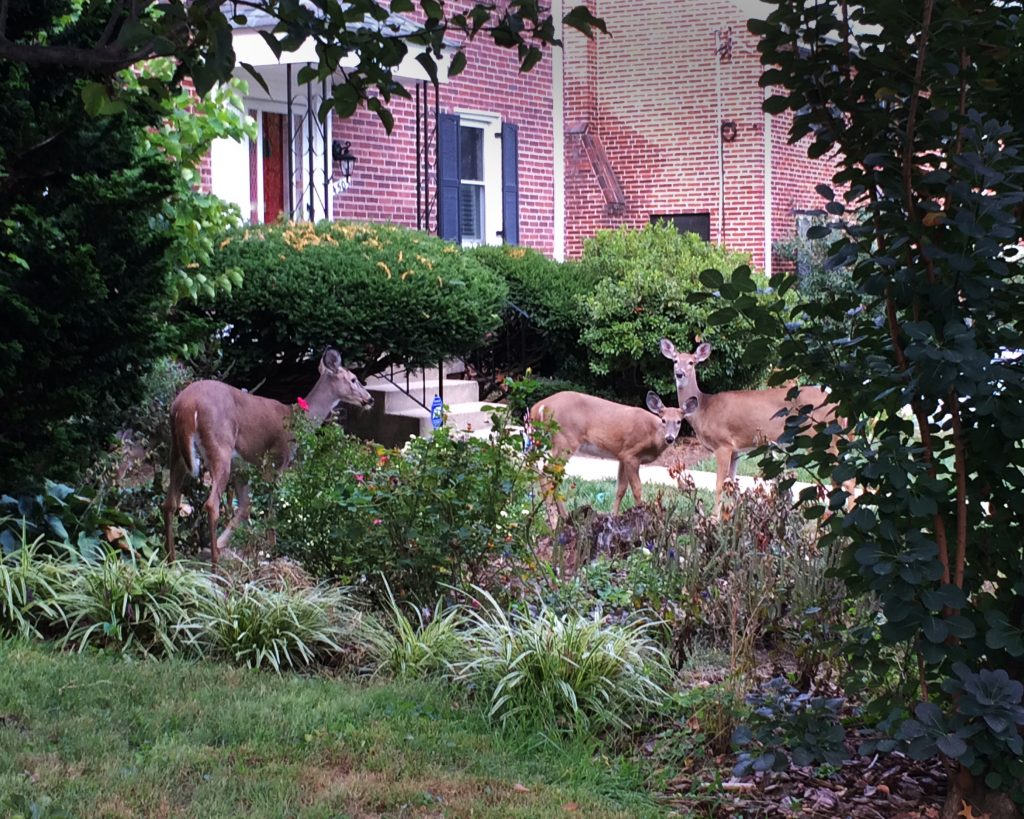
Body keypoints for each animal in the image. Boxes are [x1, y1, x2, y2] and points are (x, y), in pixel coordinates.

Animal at [162, 347, 374, 565]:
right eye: (353, 379)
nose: (370, 399)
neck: (297, 418)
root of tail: (187, 405)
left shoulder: (243, 466)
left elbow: (246, 507)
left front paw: (228, 546)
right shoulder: (275, 461)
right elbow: (270, 506)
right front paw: (271, 550)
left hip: (177, 450)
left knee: (169, 503)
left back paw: (171, 562)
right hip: (220, 446)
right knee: (211, 504)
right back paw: (214, 565)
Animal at [528, 390, 695, 526]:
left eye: (679, 421)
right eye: (663, 420)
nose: (670, 438)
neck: (652, 434)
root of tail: (539, 407)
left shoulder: (622, 455)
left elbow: (620, 488)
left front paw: (613, 516)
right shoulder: (631, 454)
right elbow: (637, 488)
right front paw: (642, 514)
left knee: (550, 475)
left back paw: (564, 517)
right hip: (565, 440)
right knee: (546, 473)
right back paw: (554, 521)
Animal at [660, 338, 841, 515]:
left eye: (691, 362)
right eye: (675, 360)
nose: (679, 373)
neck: (703, 410)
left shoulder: (723, 444)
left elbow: (719, 484)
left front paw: (714, 518)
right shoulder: (735, 450)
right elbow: (732, 484)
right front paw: (730, 516)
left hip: (822, 436)